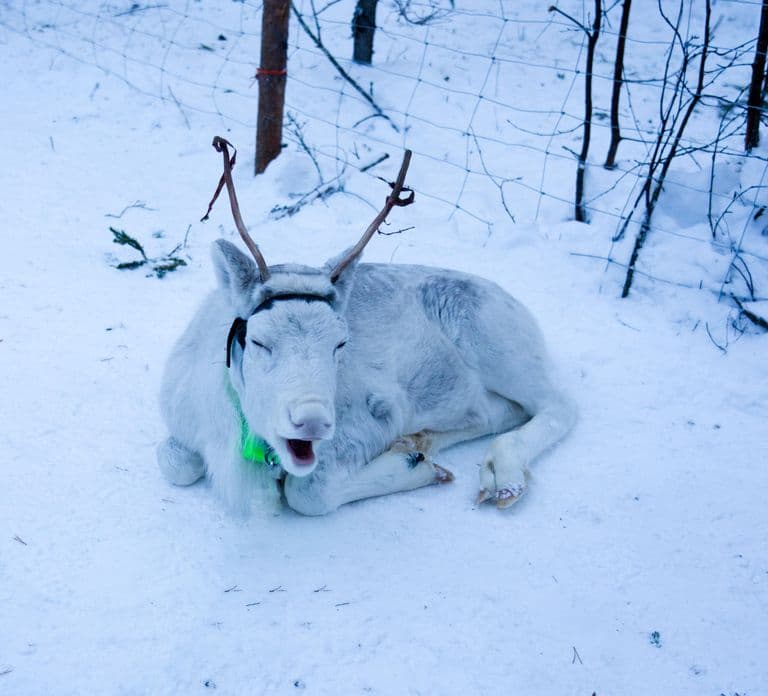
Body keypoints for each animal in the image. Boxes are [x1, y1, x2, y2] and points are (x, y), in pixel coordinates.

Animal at [157, 138, 576, 516]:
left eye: (340, 344)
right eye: (259, 341)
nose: (312, 420)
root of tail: (520, 308)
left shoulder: (376, 414)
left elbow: (307, 493)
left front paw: (415, 467)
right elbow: (174, 462)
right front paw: (415, 456)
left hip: (495, 342)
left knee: (560, 405)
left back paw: (501, 473)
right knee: (500, 412)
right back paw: (423, 441)